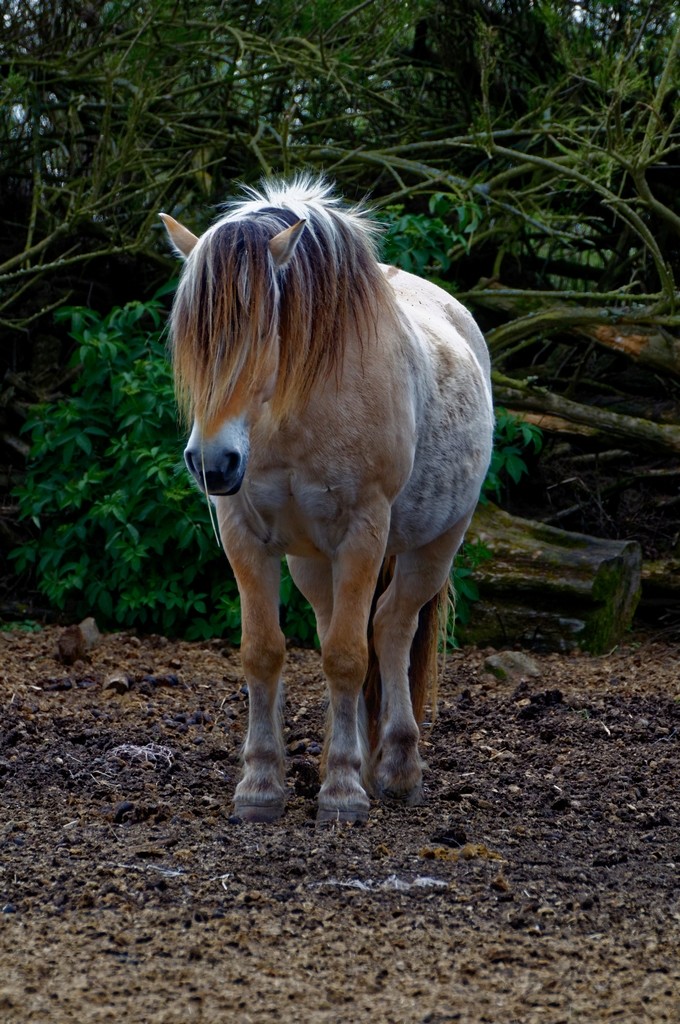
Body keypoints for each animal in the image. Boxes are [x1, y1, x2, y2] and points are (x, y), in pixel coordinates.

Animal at [161, 172, 491, 819]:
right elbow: (264, 651)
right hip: (312, 561)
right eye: (190, 339)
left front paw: (342, 791)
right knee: (339, 624)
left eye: (264, 331)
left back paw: (396, 767)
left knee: (390, 629)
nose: (212, 462)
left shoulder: (364, 531)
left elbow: (347, 655)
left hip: (435, 545)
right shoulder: (245, 535)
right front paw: (261, 785)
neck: (296, 411)